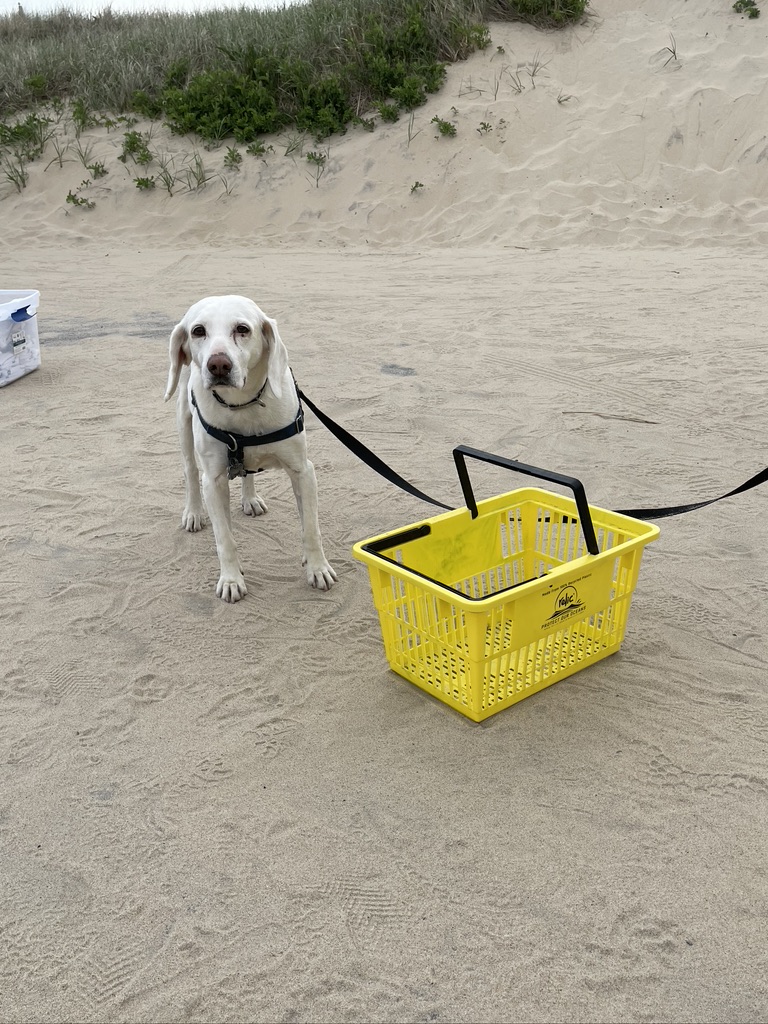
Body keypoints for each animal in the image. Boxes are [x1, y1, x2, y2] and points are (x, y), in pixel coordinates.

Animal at [165, 294, 335, 598]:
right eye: (198, 331)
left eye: (242, 329)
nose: (218, 365)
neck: (242, 405)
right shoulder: (214, 481)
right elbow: (225, 539)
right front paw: (231, 579)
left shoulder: (303, 471)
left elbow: (310, 528)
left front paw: (317, 567)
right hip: (184, 423)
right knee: (191, 472)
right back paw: (194, 512)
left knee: (246, 472)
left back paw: (250, 498)